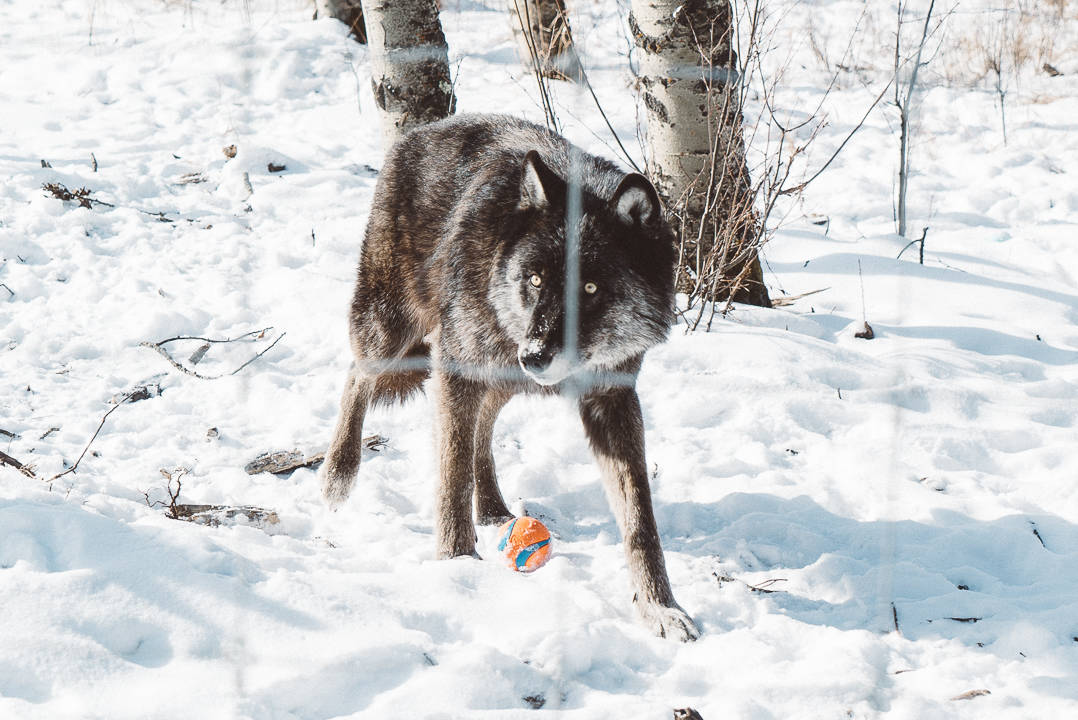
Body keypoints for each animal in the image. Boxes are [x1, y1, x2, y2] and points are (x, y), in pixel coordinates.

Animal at [321, 113, 698, 642]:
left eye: (590, 288)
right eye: (535, 279)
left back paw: (494, 509)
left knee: (483, 427)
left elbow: (640, 518)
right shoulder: (456, 367)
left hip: (500, 375)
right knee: (358, 376)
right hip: (395, 333)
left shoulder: (613, 397)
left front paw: (660, 608)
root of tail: (424, 129)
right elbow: (451, 474)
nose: (536, 356)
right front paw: (457, 563)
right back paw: (338, 474)